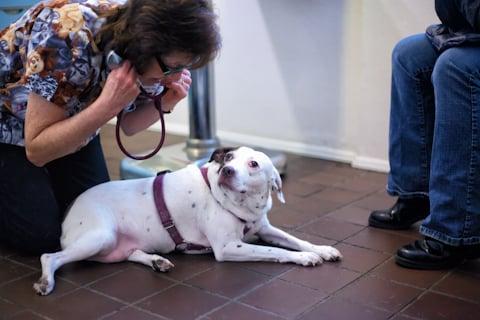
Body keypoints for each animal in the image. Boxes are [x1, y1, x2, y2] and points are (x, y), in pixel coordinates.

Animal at [32, 148, 342, 296]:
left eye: (253, 164)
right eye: (229, 158)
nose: (227, 170)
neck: (239, 203)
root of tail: (70, 210)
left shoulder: (263, 228)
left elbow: (294, 239)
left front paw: (321, 249)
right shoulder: (228, 247)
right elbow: (274, 251)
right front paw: (303, 258)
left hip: (114, 246)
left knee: (131, 253)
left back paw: (157, 261)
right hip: (98, 237)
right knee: (49, 257)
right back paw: (46, 281)